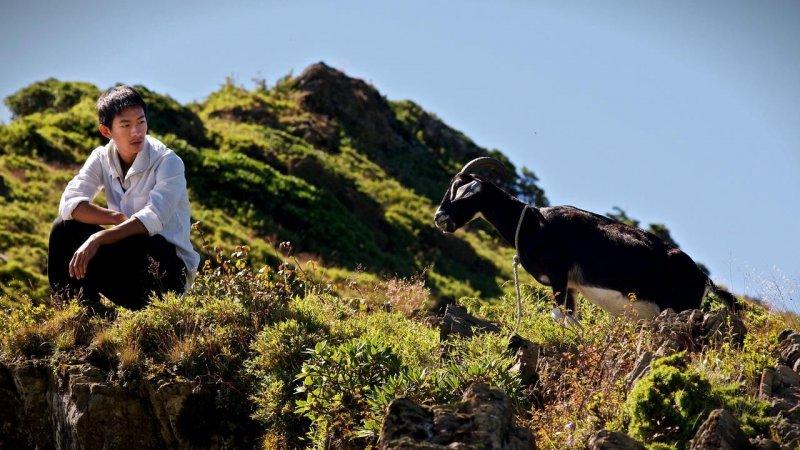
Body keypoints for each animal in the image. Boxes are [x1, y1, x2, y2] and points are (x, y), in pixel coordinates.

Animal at [434, 156, 740, 318]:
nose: (440, 218)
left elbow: (559, 316)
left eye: (464, 193)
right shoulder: (570, 285)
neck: (533, 222)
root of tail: (704, 280)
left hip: (678, 308)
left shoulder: (558, 275)